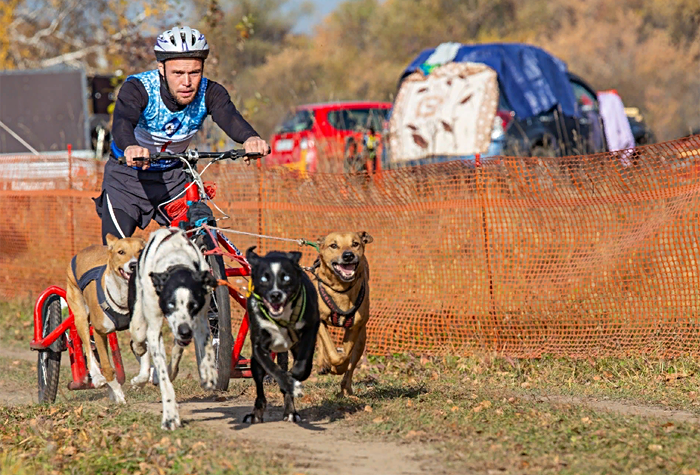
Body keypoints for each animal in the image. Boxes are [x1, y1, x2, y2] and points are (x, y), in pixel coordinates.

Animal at [130, 228, 217, 432]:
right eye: (170, 304)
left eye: (193, 305)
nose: (185, 331)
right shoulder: (154, 328)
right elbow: (164, 379)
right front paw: (170, 416)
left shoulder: (201, 318)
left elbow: (206, 347)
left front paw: (209, 373)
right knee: (138, 332)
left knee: (177, 351)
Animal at [243, 245, 320, 424]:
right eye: (264, 279)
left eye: (286, 278)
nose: (275, 294)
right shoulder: (259, 346)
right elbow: (273, 368)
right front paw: (288, 382)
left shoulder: (310, 330)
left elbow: (302, 367)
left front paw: (292, 379)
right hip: (254, 364)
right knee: (260, 388)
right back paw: (256, 413)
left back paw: (290, 411)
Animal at [308, 232, 370, 396]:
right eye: (334, 245)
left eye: (355, 243)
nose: (348, 255)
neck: (341, 289)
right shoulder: (319, 320)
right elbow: (331, 351)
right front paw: (332, 363)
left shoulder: (354, 327)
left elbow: (347, 356)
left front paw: (340, 366)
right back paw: (323, 363)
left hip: (361, 340)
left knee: (351, 367)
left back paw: (346, 389)